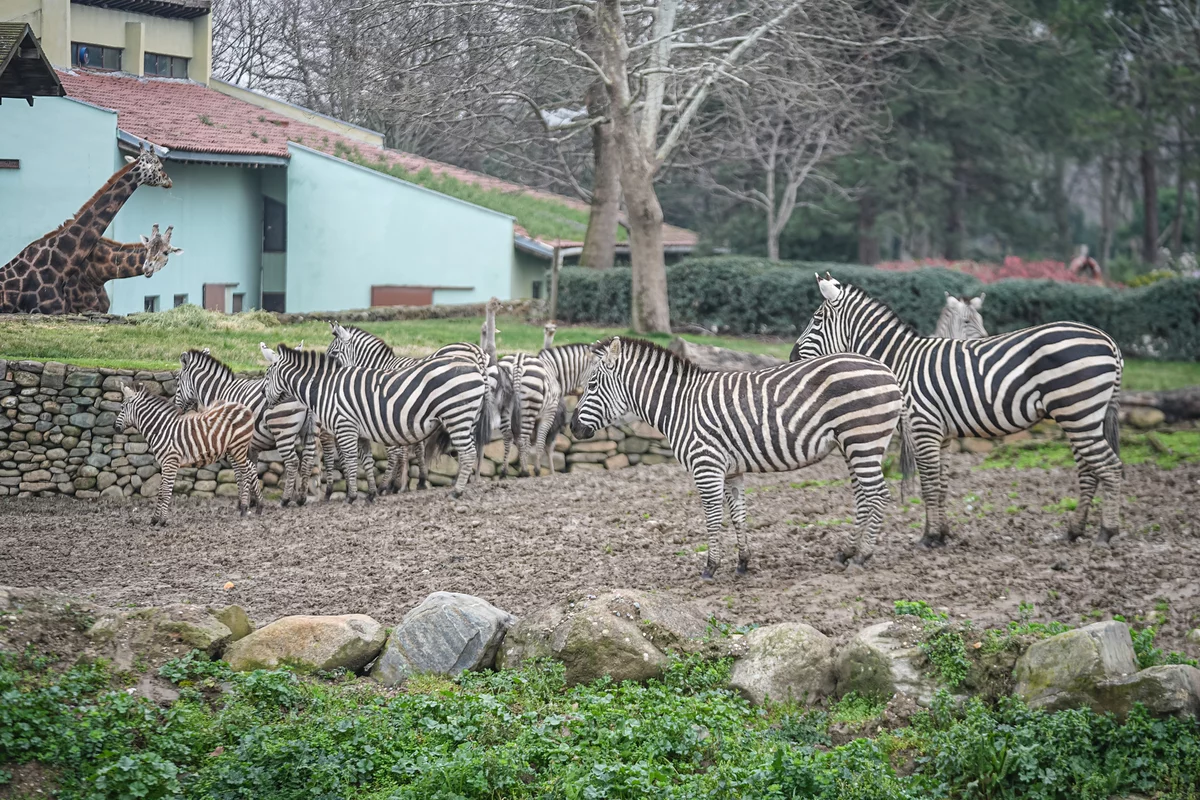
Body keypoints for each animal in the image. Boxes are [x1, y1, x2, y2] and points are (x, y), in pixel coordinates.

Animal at [116, 385, 258, 525]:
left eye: (122, 407)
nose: (115, 428)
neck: (162, 430)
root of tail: (244, 407)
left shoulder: (171, 462)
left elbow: (166, 491)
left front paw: (162, 520)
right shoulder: (164, 463)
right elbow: (161, 492)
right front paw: (155, 519)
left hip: (239, 447)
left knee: (246, 473)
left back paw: (244, 509)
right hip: (234, 449)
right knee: (245, 471)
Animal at [174, 348, 316, 506]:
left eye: (178, 380)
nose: (176, 409)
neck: (219, 393)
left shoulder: (231, 443)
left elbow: (239, 471)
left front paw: (242, 501)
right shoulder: (251, 446)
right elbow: (252, 469)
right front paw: (253, 500)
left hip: (283, 430)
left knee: (292, 463)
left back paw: (285, 500)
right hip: (309, 432)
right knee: (308, 460)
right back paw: (301, 498)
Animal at [260, 342, 491, 501]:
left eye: (268, 374)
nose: (262, 394)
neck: (327, 388)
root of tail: (475, 364)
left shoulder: (345, 427)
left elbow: (349, 461)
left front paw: (352, 496)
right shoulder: (360, 432)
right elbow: (367, 461)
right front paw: (371, 493)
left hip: (457, 415)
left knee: (467, 452)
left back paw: (457, 491)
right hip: (468, 418)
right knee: (468, 452)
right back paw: (462, 486)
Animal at [570, 337, 907, 577]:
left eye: (592, 385)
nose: (572, 428)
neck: (679, 405)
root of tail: (887, 370)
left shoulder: (706, 465)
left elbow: (713, 518)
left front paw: (710, 566)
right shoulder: (732, 470)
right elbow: (738, 516)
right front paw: (743, 562)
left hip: (862, 439)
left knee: (879, 495)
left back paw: (862, 556)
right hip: (854, 444)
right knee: (864, 496)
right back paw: (846, 553)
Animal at [791, 273, 1124, 547]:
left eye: (816, 319)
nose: (792, 356)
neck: (900, 361)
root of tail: (1108, 339)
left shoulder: (922, 427)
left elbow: (928, 485)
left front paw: (928, 537)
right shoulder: (944, 434)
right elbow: (941, 485)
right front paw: (942, 534)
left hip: (1077, 412)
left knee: (1110, 467)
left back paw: (1106, 533)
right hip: (1081, 415)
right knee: (1091, 470)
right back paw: (1074, 531)